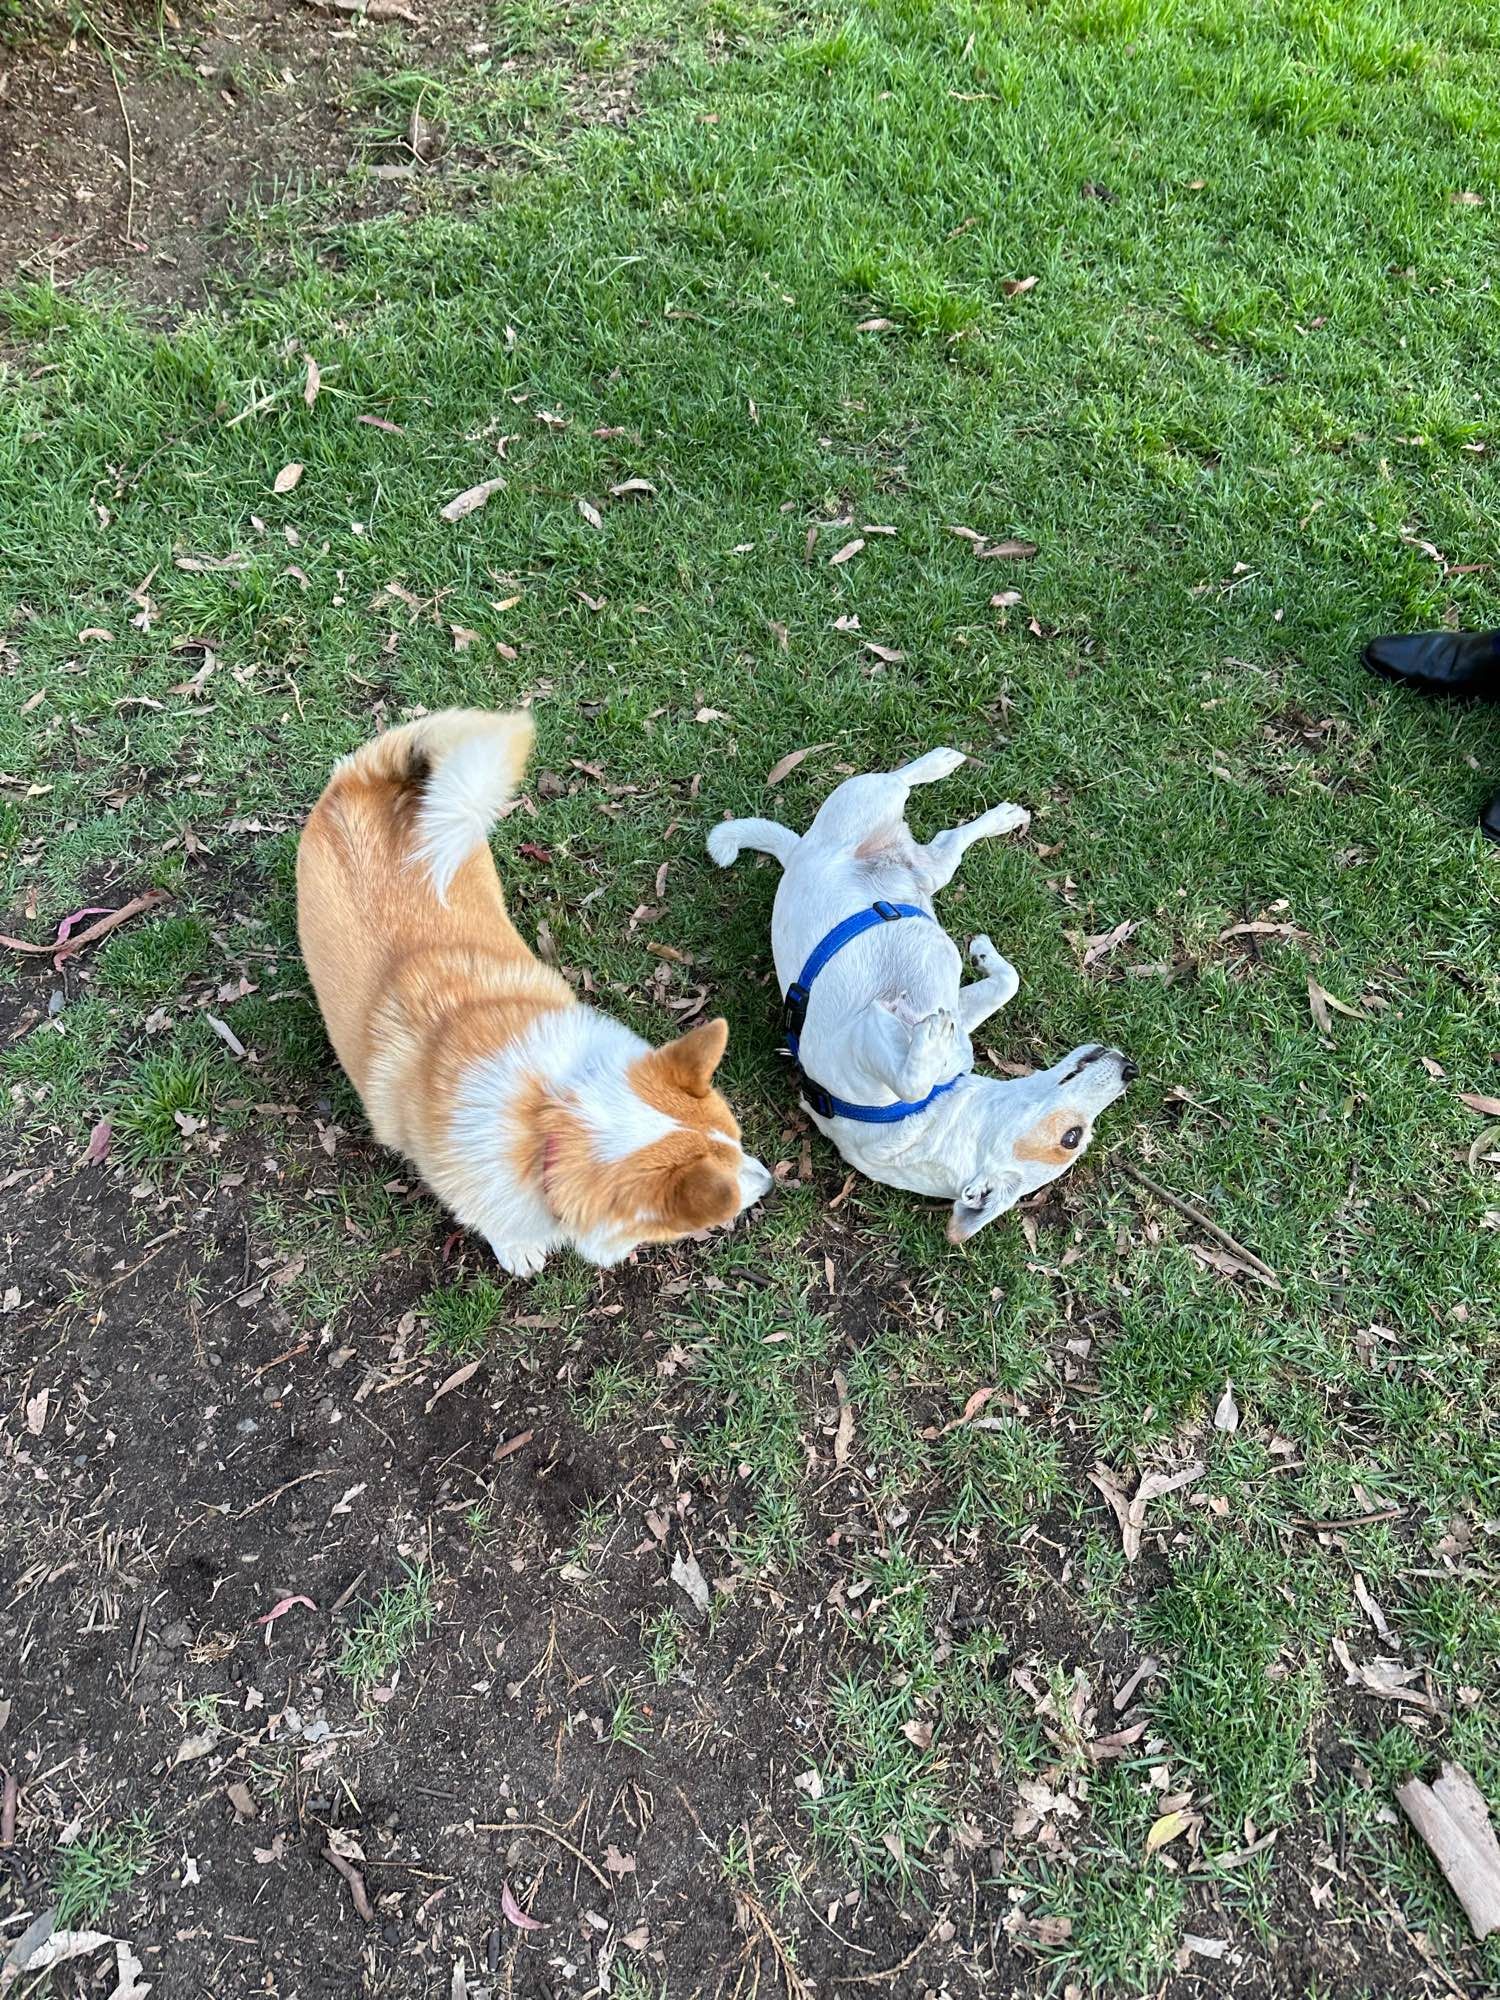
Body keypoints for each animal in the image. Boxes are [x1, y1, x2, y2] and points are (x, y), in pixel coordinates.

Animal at [304, 712, 776, 1272]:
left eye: (739, 1141)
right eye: (729, 1188)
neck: (550, 1119)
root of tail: (368, 781)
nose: (771, 1181)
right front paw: (519, 1250)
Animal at [712, 752, 1136, 1240]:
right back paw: (943, 765)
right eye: (1072, 1137)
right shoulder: (859, 1048)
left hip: (926, 863)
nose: (1131, 1069)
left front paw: (930, 1034)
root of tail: (800, 852)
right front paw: (977, 963)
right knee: (900, 783)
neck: (937, 1109)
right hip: (873, 806)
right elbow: (1000, 986)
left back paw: (991, 810)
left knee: (944, 836)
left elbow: (960, 1023)